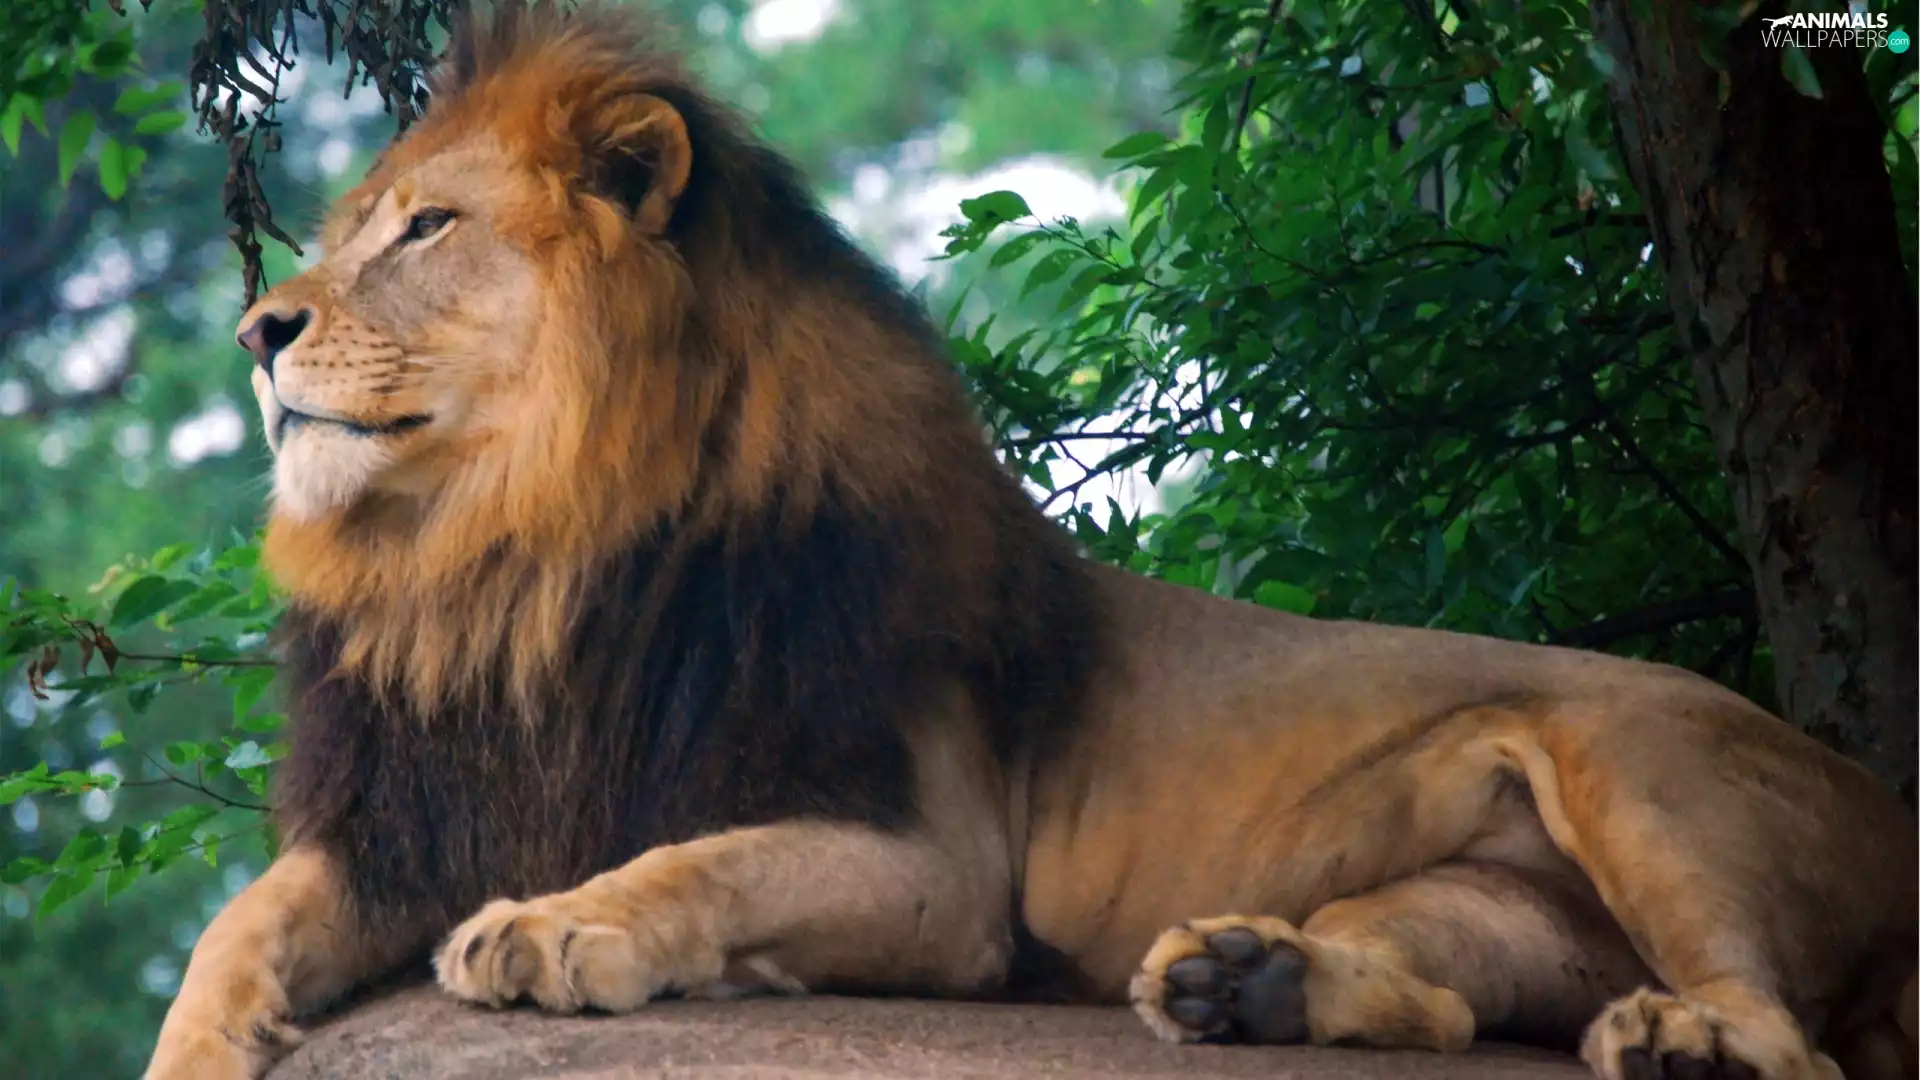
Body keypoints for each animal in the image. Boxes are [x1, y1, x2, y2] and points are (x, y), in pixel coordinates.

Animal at [143, 5, 1916, 1080]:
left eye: (428, 226)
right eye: (346, 227)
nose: (257, 327)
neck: (515, 558)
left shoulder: (938, 869)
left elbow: (703, 861)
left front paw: (559, 925)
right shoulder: (422, 816)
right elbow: (235, 932)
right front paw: (204, 1041)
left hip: (1641, 772)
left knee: (1792, 1037)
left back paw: (1684, 1038)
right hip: (1486, 899)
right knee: (1434, 996)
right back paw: (1248, 985)